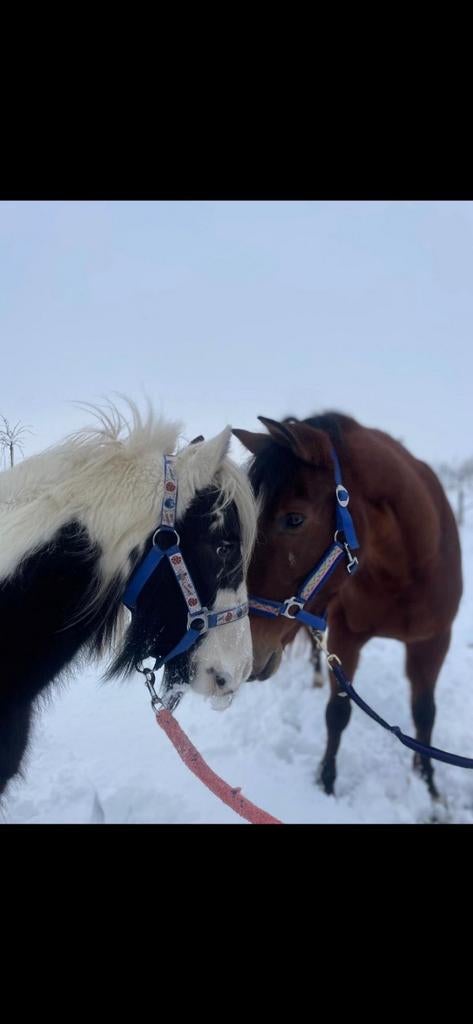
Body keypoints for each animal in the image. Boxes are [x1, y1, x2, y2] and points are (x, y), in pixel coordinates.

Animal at [233, 412, 463, 798]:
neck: (404, 573)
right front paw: (326, 783)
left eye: (294, 519)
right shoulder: (346, 636)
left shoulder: (433, 642)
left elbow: (424, 714)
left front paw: (429, 786)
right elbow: (337, 713)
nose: (242, 652)